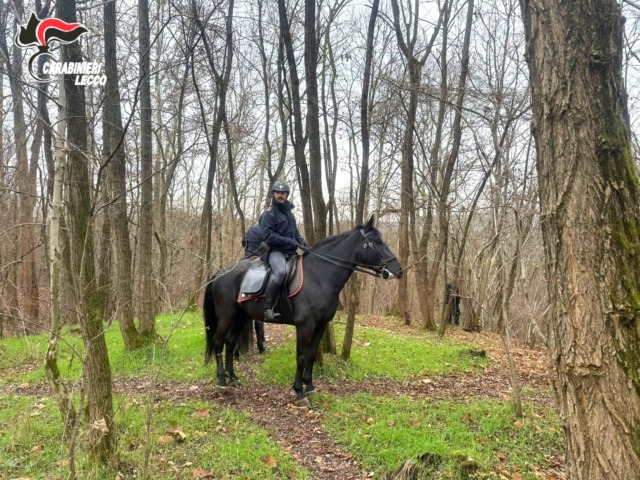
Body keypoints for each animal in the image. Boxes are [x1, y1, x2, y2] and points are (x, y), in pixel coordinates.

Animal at [203, 215, 402, 406]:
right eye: (375, 243)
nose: (398, 271)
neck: (319, 277)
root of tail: (221, 273)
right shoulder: (305, 326)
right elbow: (301, 357)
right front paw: (299, 392)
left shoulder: (321, 324)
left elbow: (311, 355)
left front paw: (310, 387)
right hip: (227, 315)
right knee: (218, 342)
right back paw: (222, 382)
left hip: (241, 316)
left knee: (230, 344)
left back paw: (233, 378)